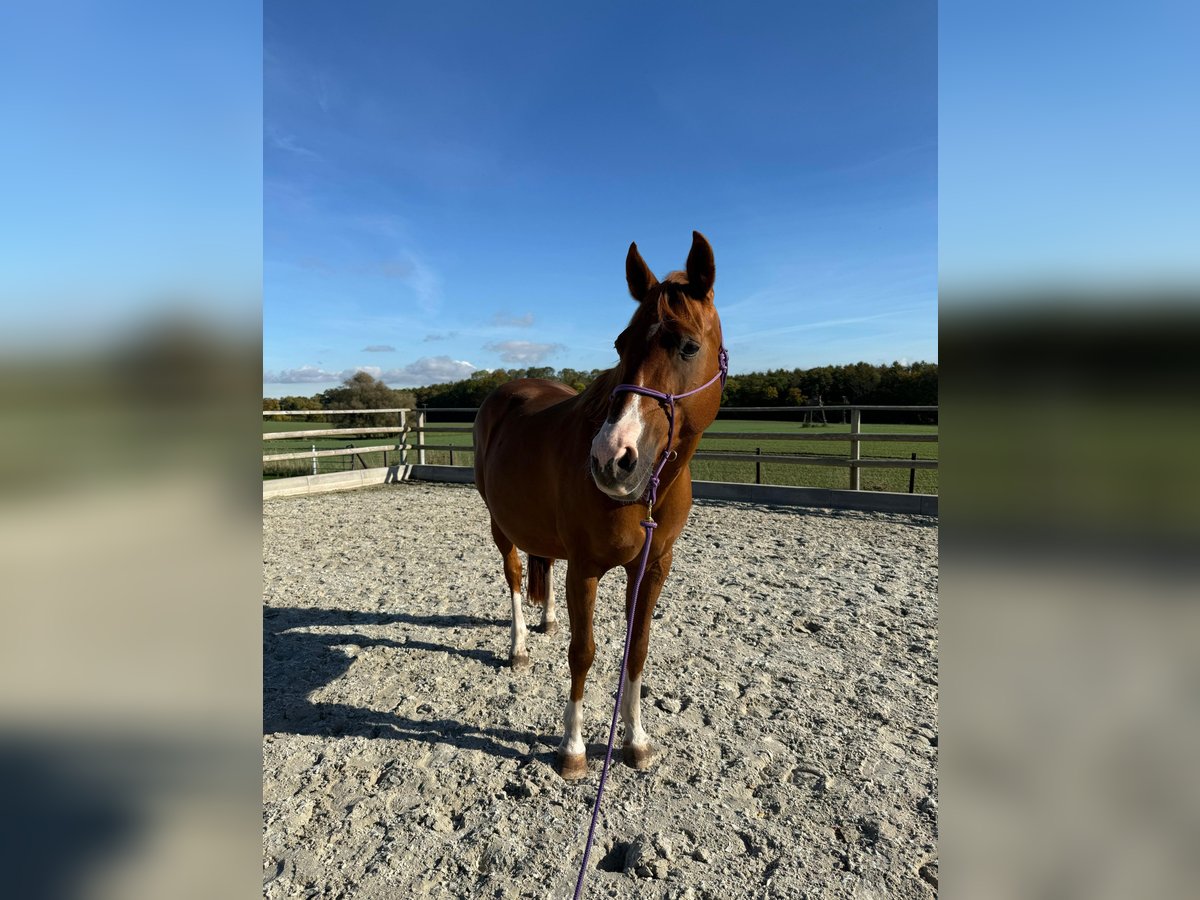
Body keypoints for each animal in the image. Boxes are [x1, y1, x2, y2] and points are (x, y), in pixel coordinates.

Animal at [472, 231, 726, 781]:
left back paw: (546, 620)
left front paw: (637, 741)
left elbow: (637, 650)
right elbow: (583, 652)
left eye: (688, 346)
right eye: (619, 345)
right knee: (515, 576)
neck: (647, 493)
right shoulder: (585, 568)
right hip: (499, 525)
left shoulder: (653, 567)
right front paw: (572, 748)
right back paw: (519, 646)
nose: (612, 459)